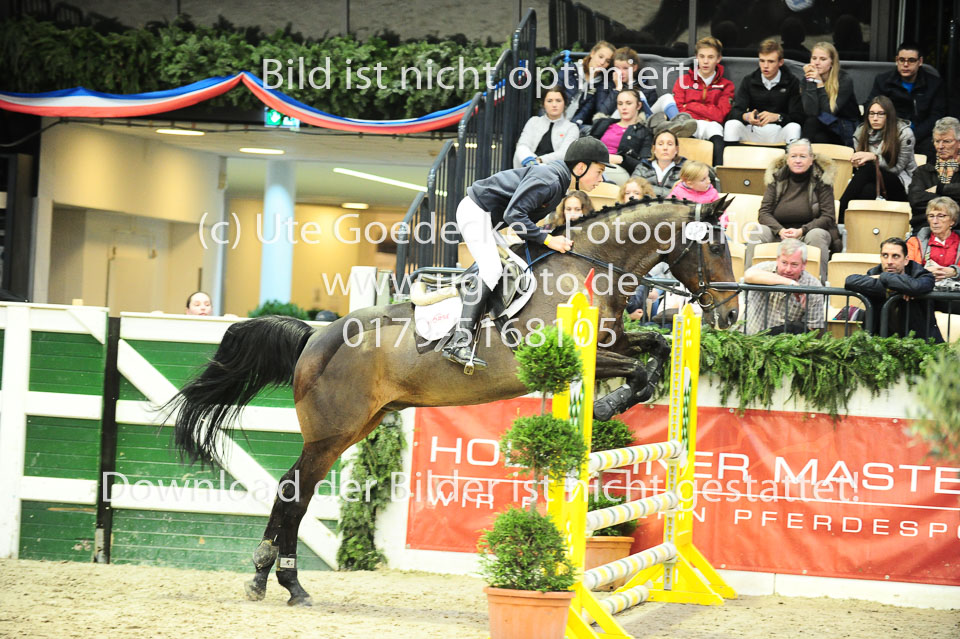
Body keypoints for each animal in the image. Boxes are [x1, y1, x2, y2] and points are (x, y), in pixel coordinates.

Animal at [166, 195, 738, 606]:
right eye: (715, 247)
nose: (730, 315)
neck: (590, 268)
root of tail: (315, 336)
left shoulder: (614, 340)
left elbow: (656, 351)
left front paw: (616, 402)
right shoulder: (577, 354)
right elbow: (639, 368)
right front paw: (603, 407)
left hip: (353, 427)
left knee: (292, 491)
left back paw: (269, 577)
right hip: (332, 432)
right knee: (295, 494)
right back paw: (287, 583)